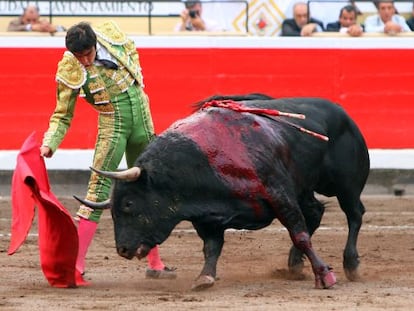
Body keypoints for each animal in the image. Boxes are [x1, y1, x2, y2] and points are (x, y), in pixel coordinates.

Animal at [76, 94, 370, 292]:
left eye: (129, 204)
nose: (123, 249)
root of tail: (341, 111)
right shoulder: (206, 219)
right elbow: (211, 248)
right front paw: (204, 278)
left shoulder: (280, 194)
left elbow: (299, 235)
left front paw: (325, 276)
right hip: (305, 189)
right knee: (317, 212)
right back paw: (295, 265)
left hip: (344, 184)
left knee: (354, 214)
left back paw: (351, 264)